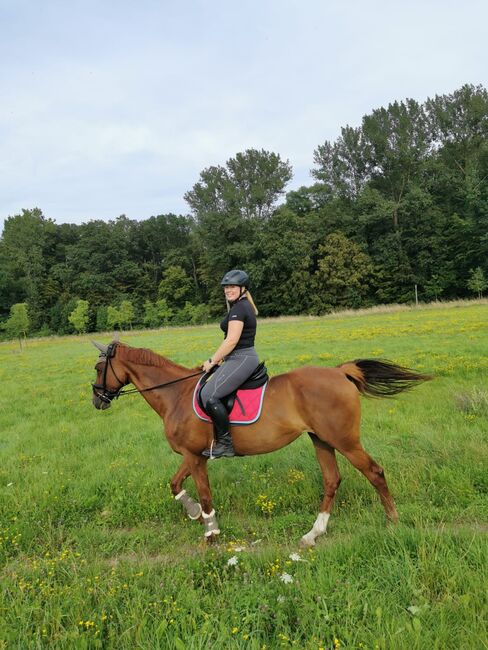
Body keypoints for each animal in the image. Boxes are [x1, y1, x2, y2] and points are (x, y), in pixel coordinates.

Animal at [91, 342, 430, 544]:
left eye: (98, 368)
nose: (97, 400)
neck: (176, 395)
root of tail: (339, 372)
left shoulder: (195, 456)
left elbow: (204, 493)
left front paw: (210, 532)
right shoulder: (193, 455)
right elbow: (175, 484)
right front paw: (194, 514)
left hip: (344, 441)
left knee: (374, 472)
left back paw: (392, 522)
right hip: (322, 440)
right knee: (332, 480)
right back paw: (313, 533)